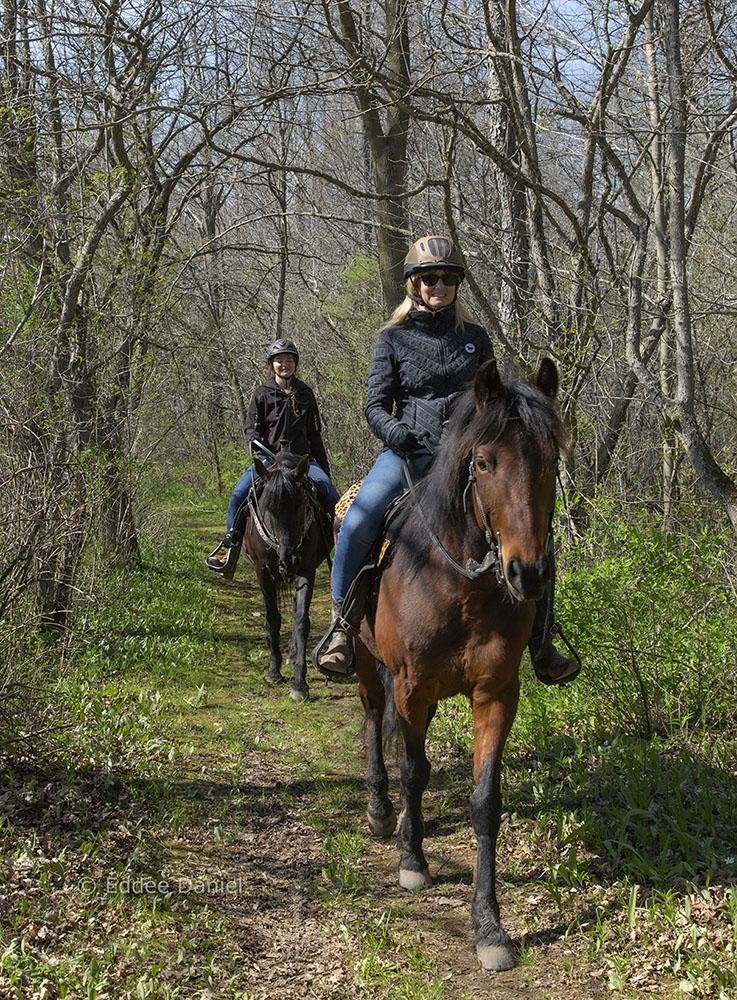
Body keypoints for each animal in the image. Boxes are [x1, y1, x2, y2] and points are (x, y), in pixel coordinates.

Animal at [244, 450, 330, 700]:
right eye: (268, 506)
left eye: (300, 505)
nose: (289, 560)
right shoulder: (263, 572)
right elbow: (272, 619)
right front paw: (273, 671)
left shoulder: (306, 570)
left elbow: (301, 620)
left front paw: (299, 683)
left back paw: (292, 653)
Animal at [354, 358, 560, 968]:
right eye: (484, 461)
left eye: (551, 458)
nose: (528, 574)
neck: (460, 586)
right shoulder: (410, 687)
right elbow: (414, 770)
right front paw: (413, 860)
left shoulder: (496, 693)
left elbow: (485, 802)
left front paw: (489, 926)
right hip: (365, 662)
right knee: (374, 722)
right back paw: (381, 810)